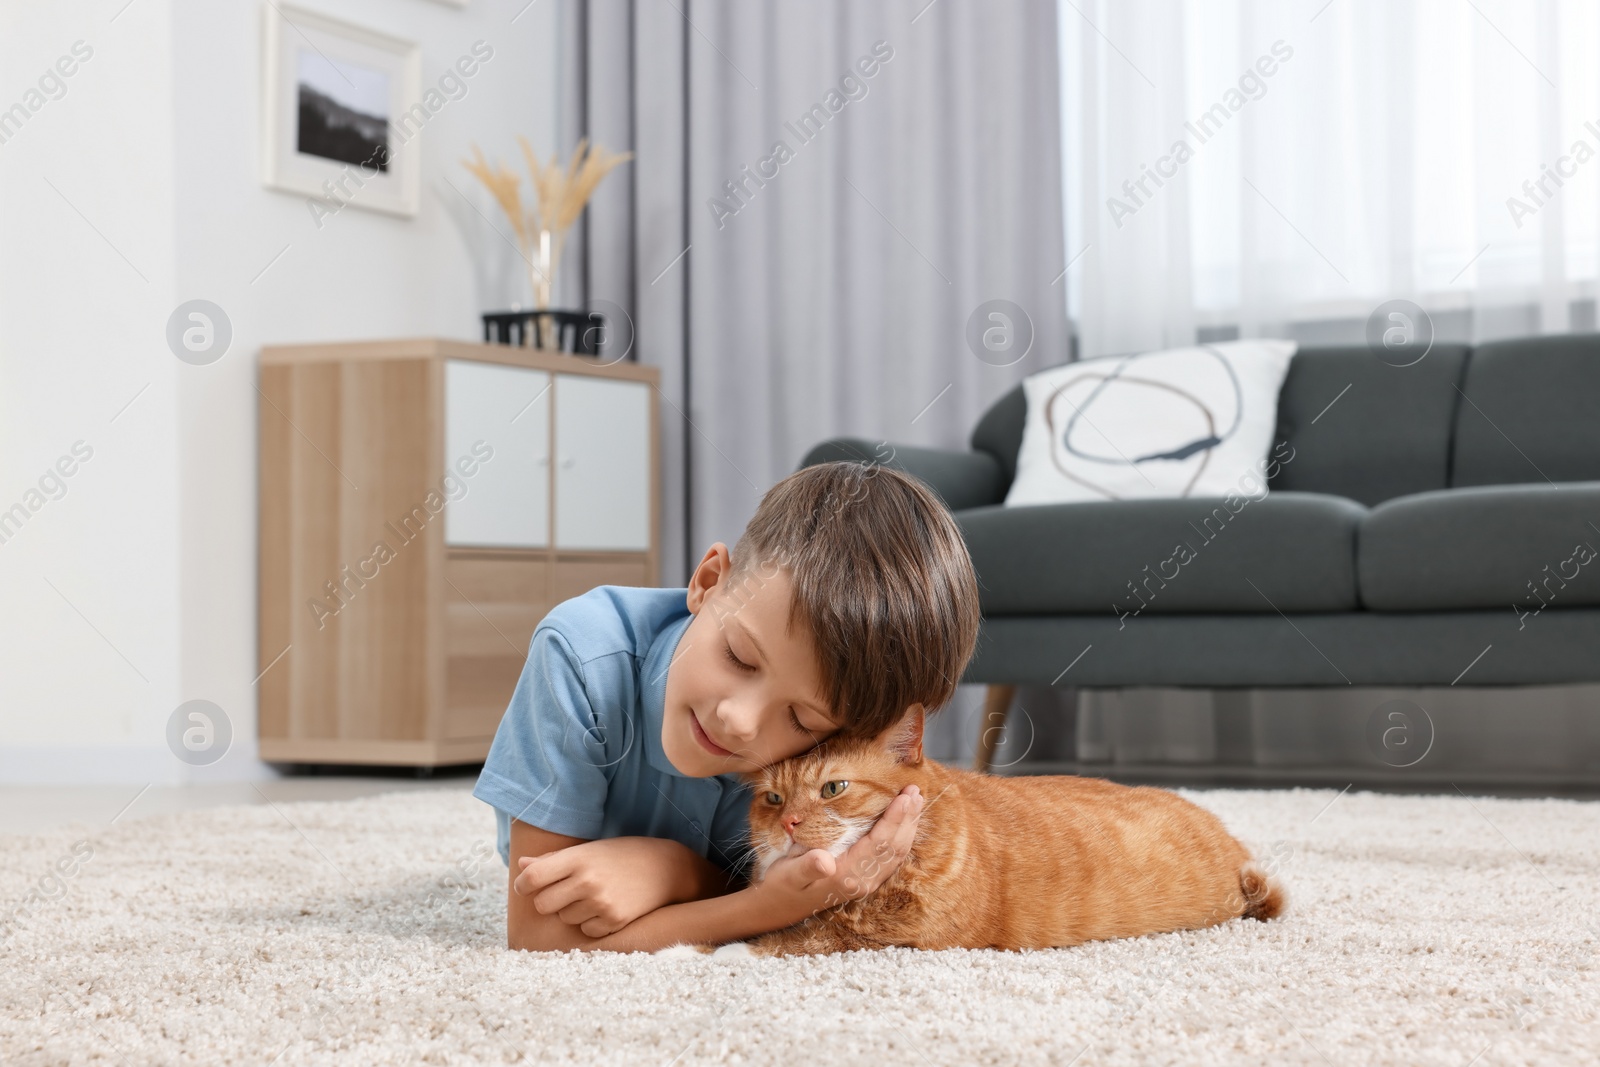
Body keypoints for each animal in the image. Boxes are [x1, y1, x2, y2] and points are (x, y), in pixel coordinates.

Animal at [732, 703, 1280, 953]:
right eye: (773, 799)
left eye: (833, 788)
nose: (788, 823)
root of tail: (1234, 844)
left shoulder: (890, 938)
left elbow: (784, 941)